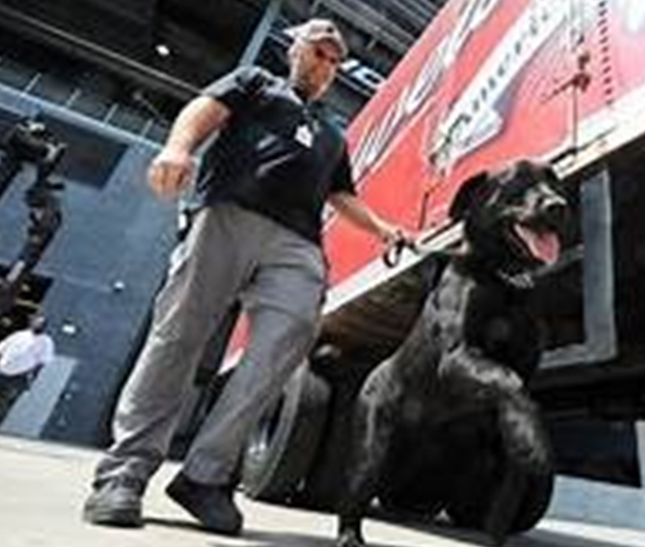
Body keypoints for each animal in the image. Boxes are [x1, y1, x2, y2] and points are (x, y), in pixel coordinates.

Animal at [338, 161, 568, 544]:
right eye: (517, 182)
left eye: (555, 182)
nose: (558, 206)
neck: (504, 281)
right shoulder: (455, 357)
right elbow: (508, 379)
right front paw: (532, 440)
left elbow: (503, 511)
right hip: (372, 449)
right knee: (352, 501)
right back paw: (349, 537)